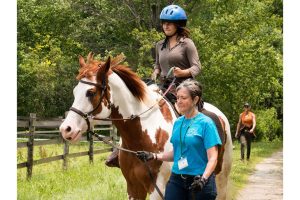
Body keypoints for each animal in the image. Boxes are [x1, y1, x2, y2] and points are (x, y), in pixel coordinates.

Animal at [58, 52, 232, 199]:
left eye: (91, 92)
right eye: (75, 92)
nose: (66, 129)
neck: (142, 136)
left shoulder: (158, 188)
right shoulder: (133, 187)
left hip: (221, 178)